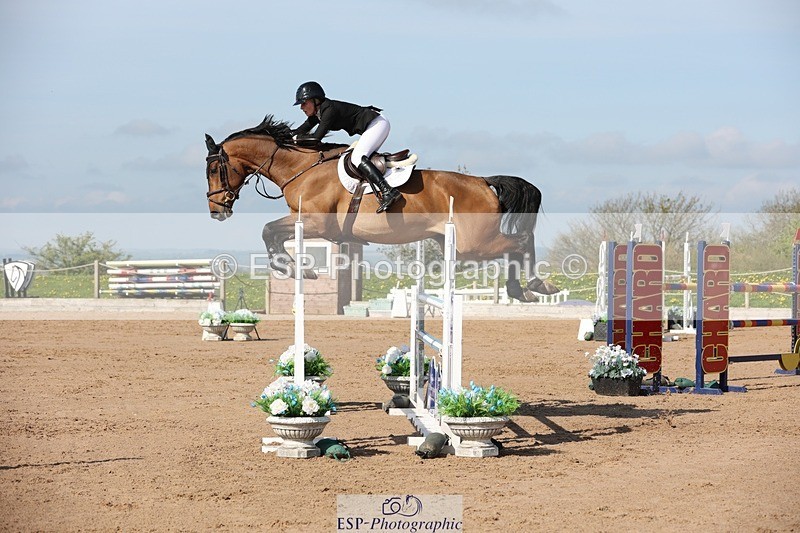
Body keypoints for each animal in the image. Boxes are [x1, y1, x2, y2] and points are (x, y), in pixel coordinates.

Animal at [204, 115, 559, 302]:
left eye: (212, 169)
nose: (216, 211)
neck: (301, 167)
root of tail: (484, 182)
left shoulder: (317, 223)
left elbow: (268, 231)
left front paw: (294, 268)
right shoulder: (304, 221)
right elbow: (271, 234)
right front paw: (294, 267)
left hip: (475, 243)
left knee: (520, 242)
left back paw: (534, 285)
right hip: (460, 247)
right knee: (514, 246)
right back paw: (521, 289)